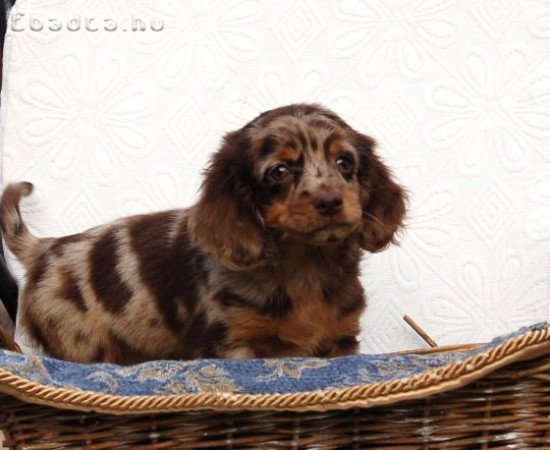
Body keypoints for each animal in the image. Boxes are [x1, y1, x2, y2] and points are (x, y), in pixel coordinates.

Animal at [0, 103, 406, 364]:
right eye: (278, 171)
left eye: (344, 162)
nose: (330, 201)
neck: (304, 265)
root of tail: (46, 247)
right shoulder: (233, 344)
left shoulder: (340, 342)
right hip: (80, 343)